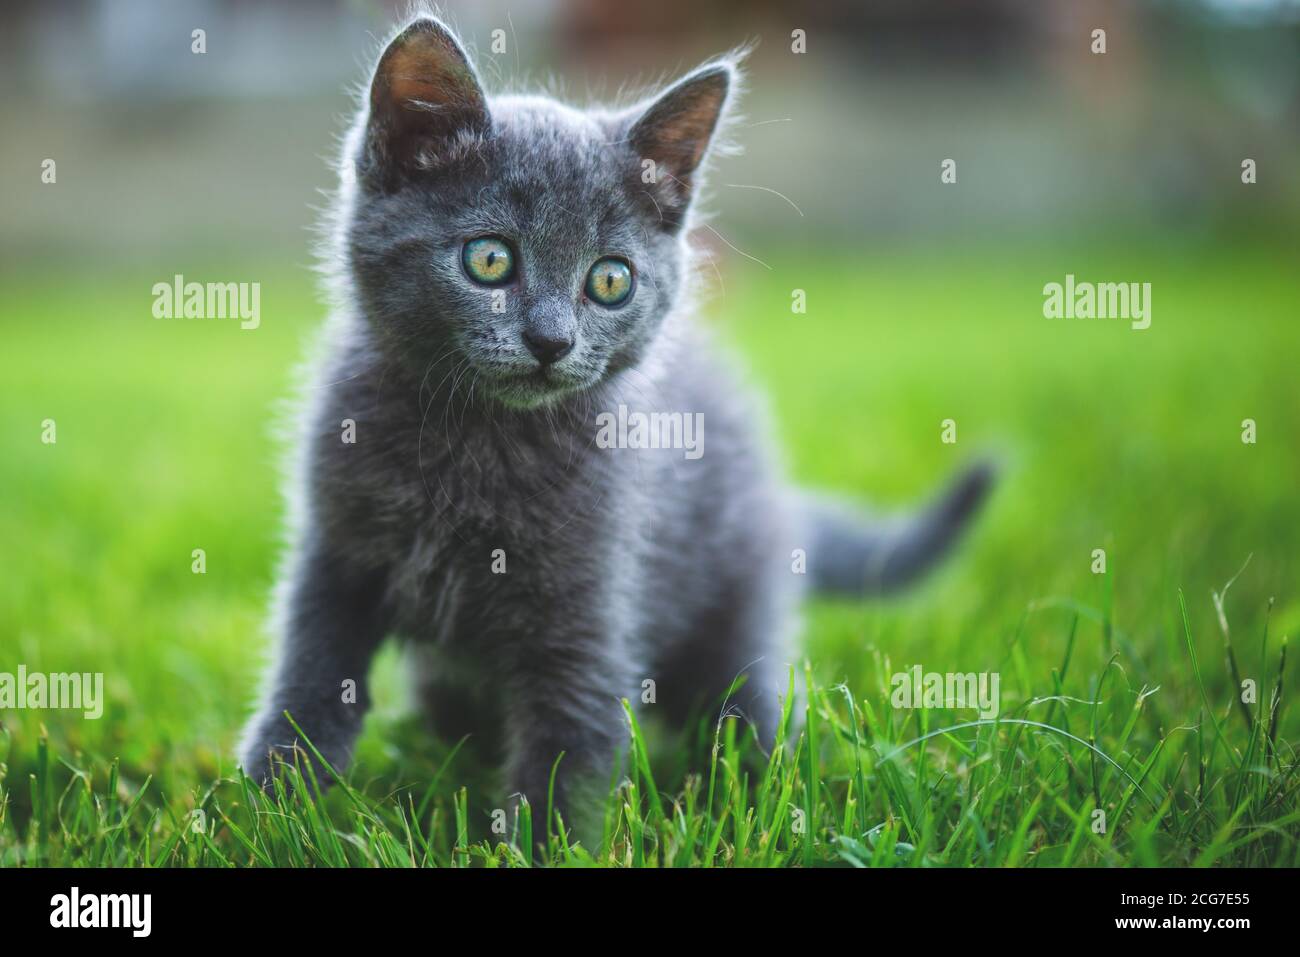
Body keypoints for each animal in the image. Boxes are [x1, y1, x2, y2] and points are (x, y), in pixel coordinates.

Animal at [239, 11, 987, 826]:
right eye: (489, 260)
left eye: (609, 279)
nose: (551, 341)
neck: (478, 443)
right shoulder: (334, 550)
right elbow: (312, 666)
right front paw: (277, 804)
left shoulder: (594, 591)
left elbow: (574, 729)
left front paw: (544, 838)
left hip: (735, 598)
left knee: (745, 704)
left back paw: (763, 788)